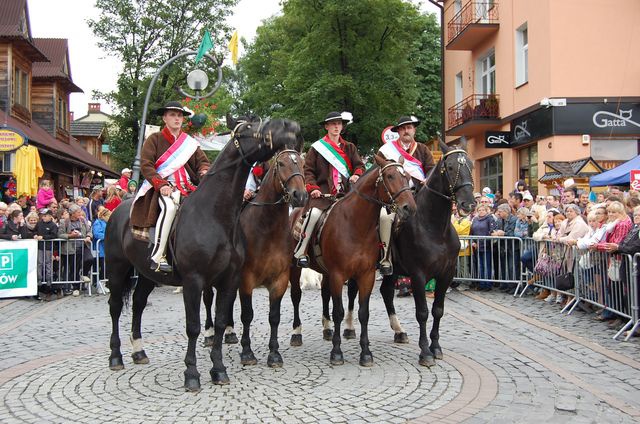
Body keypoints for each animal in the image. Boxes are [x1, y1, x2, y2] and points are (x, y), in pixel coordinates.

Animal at [105, 116, 302, 390]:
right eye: (249, 129)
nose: (290, 128)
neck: (216, 215)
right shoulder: (195, 281)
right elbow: (194, 327)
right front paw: (192, 374)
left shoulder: (232, 280)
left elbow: (222, 322)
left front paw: (218, 369)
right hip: (116, 269)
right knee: (115, 307)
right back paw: (116, 356)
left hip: (147, 275)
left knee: (138, 304)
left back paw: (139, 351)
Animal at [288, 154, 418, 366]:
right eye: (390, 176)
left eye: (406, 176)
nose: (410, 208)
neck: (355, 225)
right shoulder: (338, 275)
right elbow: (339, 312)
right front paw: (336, 352)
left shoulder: (365, 275)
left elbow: (363, 313)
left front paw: (365, 353)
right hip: (295, 268)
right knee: (296, 296)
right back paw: (296, 333)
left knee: (324, 294)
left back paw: (327, 329)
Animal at [344, 141, 476, 366]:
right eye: (450, 167)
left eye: (471, 165)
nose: (468, 204)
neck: (434, 228)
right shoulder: (418, 275)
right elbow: (422, 312)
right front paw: (425, 352)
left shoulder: (446, 274)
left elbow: (438, 310)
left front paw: (436, 347)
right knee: (353, 291)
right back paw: (349, 328)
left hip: (392, 270)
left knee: (386, 292)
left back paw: (399, 331)